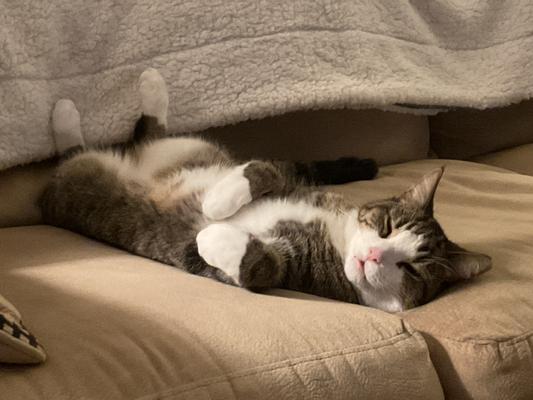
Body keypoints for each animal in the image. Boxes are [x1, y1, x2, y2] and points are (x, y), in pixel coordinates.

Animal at [40, 68, 490, 312]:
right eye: (385, 227)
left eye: (411, 270)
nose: (375, 256)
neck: (337, 238)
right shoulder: (293, 180)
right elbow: (268, 167)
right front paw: (220, 201)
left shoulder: (289, 271)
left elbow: (256, 266)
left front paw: (211, 231)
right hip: (189, 147)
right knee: (150, 131)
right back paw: (138, 90)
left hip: (80, 178)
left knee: (76, 153)